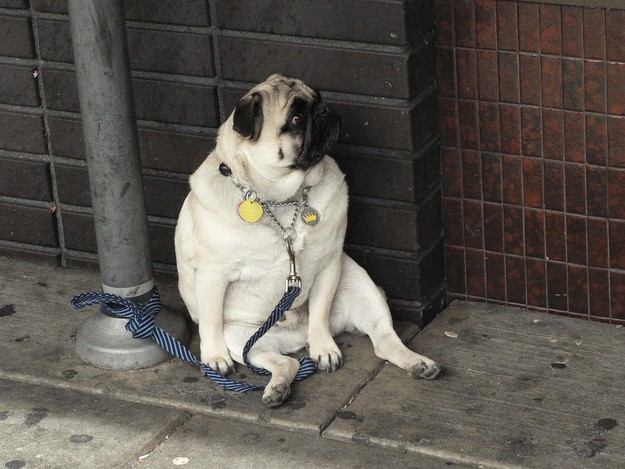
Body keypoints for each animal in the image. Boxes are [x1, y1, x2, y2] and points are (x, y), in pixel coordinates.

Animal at [173, 73, 442, 406]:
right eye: (297, 119)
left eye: (319, 98)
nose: (324, 111)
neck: (281, 199)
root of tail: (295, 335)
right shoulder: (214, 274)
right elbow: (210, 321)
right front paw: (213, 357)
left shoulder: (329, 263)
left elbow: (320, 313)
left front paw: (323, 347)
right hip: (242, 339)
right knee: (285, 363)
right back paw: (277, 388)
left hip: (361, 287)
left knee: (384, 340)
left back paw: (417, 363)